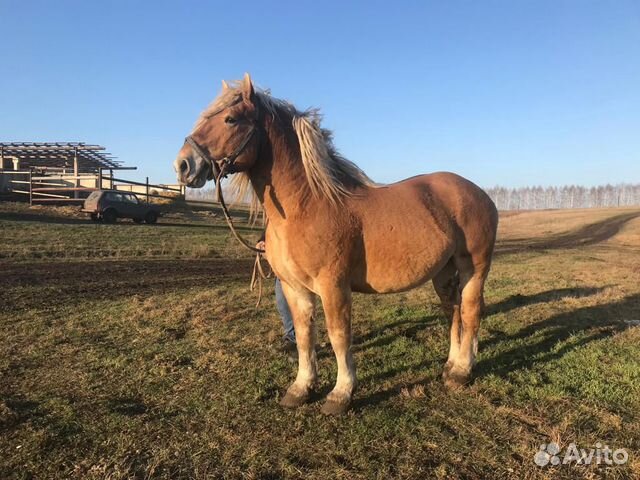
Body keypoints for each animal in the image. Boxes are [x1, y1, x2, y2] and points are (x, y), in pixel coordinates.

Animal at [175, 75, 500, 416]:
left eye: (230, 119)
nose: (183, 165)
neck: (306, 204)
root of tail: (480, 193)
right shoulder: (294, 288)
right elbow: (304, 336)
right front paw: (301, 388)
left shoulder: (333, 286)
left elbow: (338, 336)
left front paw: (340, 394)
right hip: (443, 272)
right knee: (453, 311)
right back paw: (450, 365)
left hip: (473, 268)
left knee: (471, 311)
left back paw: (462, 371)